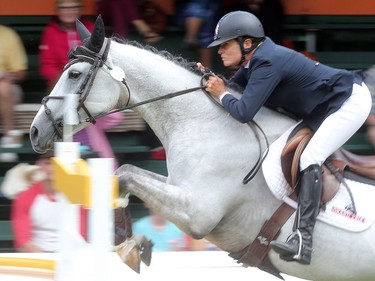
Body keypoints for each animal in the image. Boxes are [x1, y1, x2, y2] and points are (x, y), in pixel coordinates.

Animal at [30, 16, 375, 278]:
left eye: (75, 74)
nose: (35, 131)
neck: (204, 122)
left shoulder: (197, 212)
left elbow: (124, 174)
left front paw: (126, 246)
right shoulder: (177, 187)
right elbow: (124, 174)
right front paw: (129, 244)